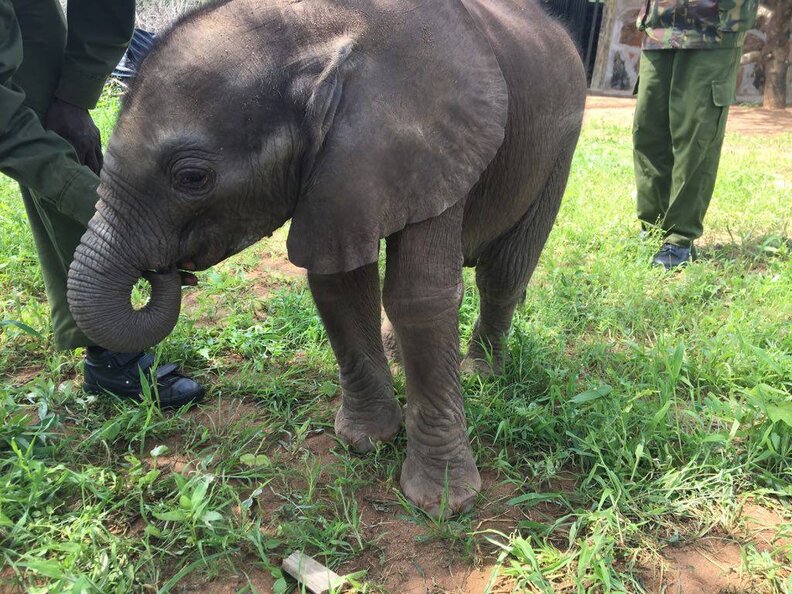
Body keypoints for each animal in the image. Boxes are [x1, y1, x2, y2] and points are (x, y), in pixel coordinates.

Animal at [66, 0, 586, 516]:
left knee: (505, 271)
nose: (166, 272)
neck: (315, 33)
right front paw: (366, 441)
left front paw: (442, 503)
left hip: (562, 139)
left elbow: (420, 297)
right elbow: (338, 284)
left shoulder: (435, 141)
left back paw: (480, 372)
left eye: (192, 178)